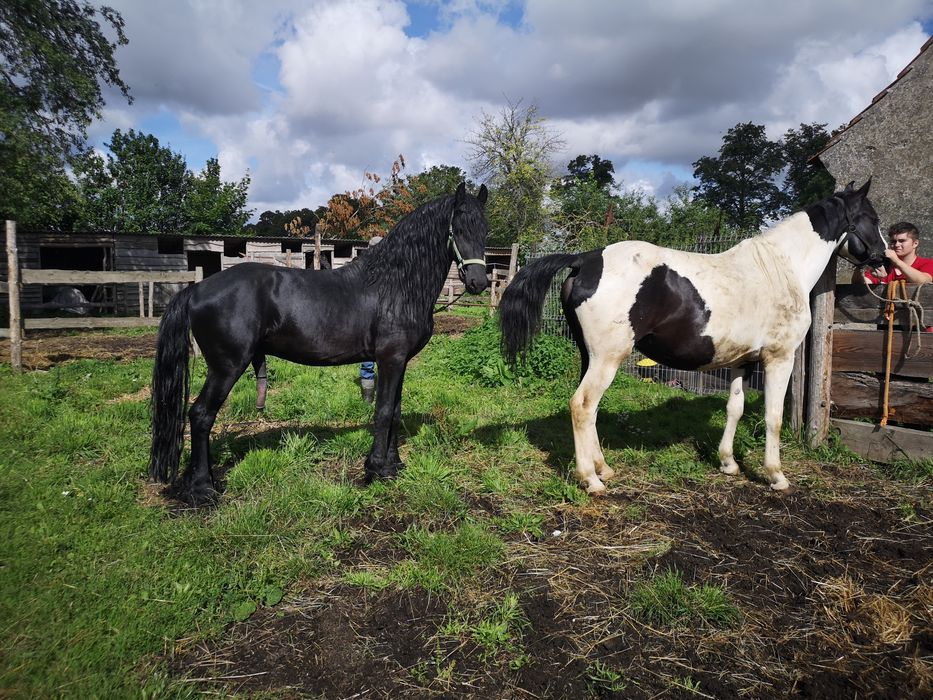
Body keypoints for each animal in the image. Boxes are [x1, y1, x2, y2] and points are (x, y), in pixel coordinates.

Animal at [149, 183, 488, 504]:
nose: (479, 283)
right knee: (201, 415)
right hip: (226, 367)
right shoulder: (390, 359)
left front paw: (394, 465)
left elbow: (395, 411)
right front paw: (376, 469)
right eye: (458, 229)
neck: (394, 286)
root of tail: (196, 289)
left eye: (484, 229)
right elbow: (382, 411)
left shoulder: (401, 361)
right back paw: (202, 488)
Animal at [498, 183, 884, 494]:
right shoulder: (779, 358)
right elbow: (772, 417)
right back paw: (591, 480)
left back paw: (603, 468)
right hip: (607, 358)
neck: (780, 268)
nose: (883, 257)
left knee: (589, 409)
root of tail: (586, 260)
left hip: (589, 356)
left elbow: (735, 409)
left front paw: (729, 463)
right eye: (872, 217)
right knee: (583, 405)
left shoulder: (742, 362)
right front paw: (776, 475)